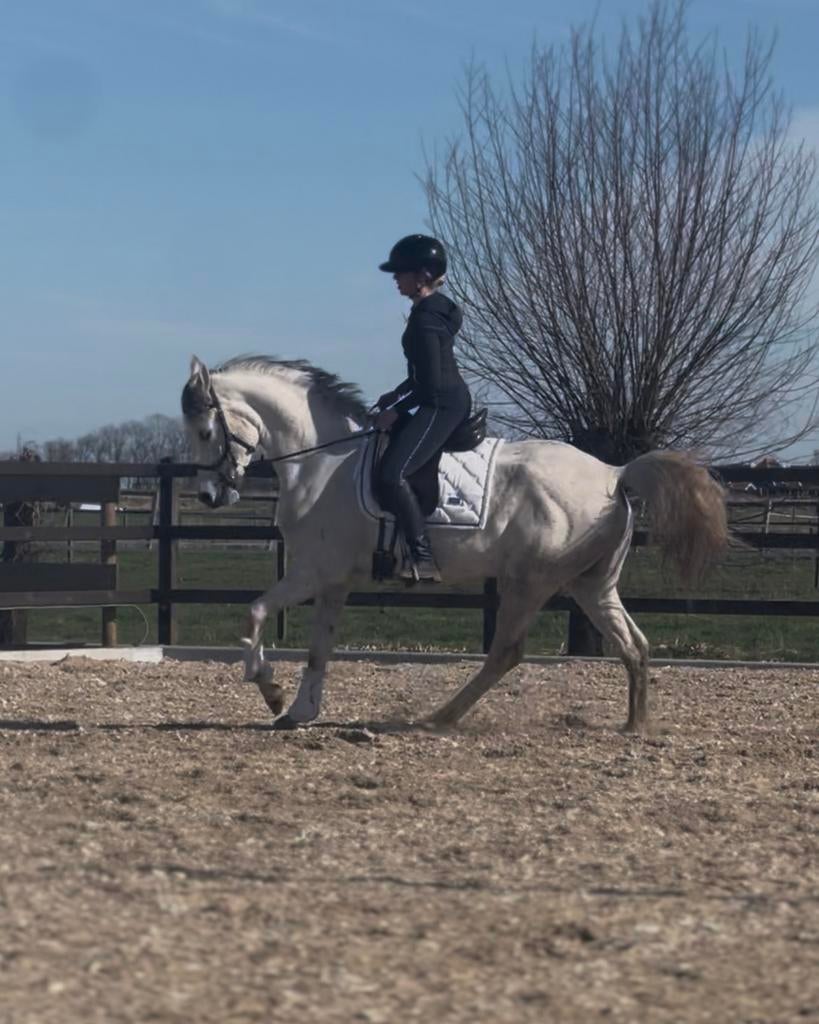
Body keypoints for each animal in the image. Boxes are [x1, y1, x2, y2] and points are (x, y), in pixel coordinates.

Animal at [181, 354, 728, 734]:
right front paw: (299, 709)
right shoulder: (334, 581)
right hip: (591, 585)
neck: (322, 459)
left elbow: (254, 613)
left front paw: (271, 691)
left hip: (529, 583)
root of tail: (615, 473)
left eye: (206, 431)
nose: (209, 496)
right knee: (634, 645)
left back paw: (439, 718)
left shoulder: (312, 572)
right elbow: (319, 648)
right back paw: (635, 726)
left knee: (506, 652)